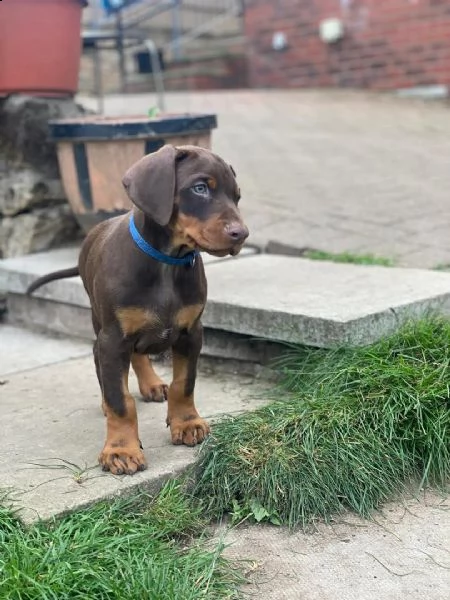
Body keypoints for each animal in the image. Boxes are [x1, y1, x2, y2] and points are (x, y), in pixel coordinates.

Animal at [27, 144, 250, 474]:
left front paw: (187, 423)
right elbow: (121, 400)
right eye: (200, 188)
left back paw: (153, 384)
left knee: (138, 356)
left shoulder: (191, 332)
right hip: (101, 324)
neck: (167, 261)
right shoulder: (113, 339)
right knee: (105, 368)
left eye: (236, 196)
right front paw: (120, 449)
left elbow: (185, 382)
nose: (242, 234)